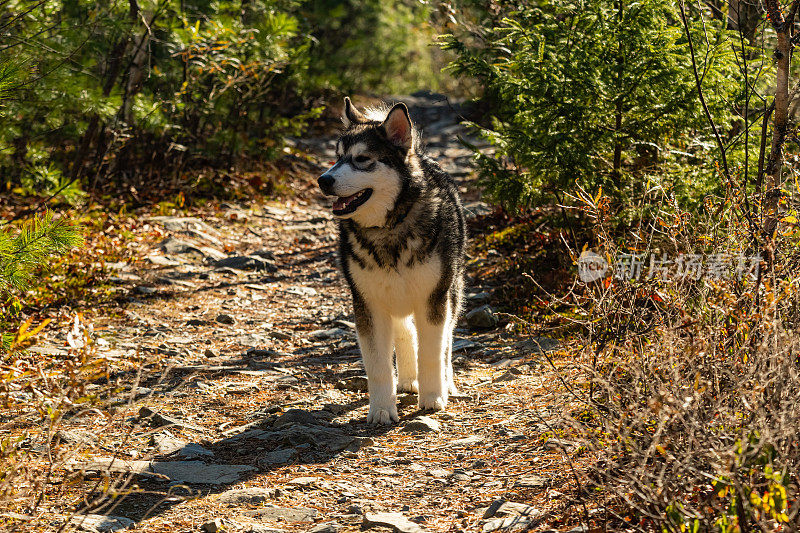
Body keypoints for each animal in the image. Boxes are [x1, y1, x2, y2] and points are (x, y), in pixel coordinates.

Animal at [318, 96, 466, 424]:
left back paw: (445, 382)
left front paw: (433, 397)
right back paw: (408, 379)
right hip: (394, 298)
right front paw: (382, 409)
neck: (389, 228)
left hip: (451, 292)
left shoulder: (433, 300)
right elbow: (378, 366)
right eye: (336, 157)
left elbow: (432, 352)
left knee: (446, 340)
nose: (323, 180)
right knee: (405, 333)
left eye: (362, 159)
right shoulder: (369, 305)